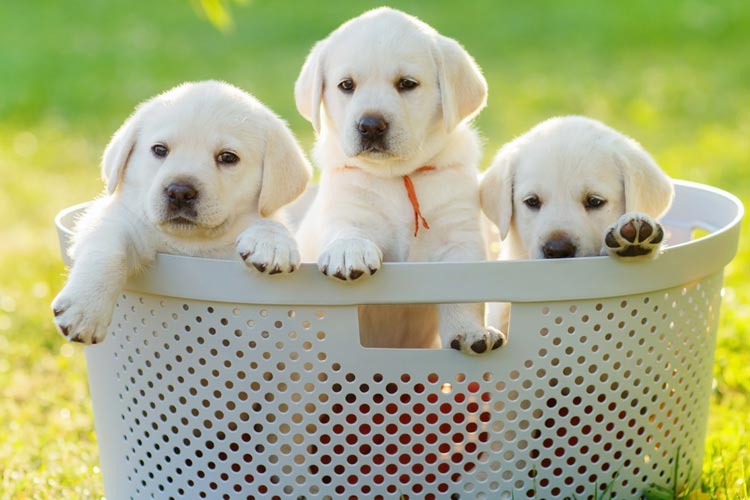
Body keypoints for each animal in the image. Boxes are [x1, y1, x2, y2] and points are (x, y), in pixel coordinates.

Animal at [52, 83, 312, 348]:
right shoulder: (117, 219)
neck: (191, 243)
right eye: (159, 149)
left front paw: (272, 242)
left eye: (228, 157)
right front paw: (86, 308)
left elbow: (268, 222)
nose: (179, 192)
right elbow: (107, 249)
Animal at [296, 5, 506, 354]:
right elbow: (346, 230)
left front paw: (471, 332)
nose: (370, 125)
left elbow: (463, 293)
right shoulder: (345, 207)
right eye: (346, 85)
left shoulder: (459, 238)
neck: (398, 176)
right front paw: (349, 250)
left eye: (407, 84)